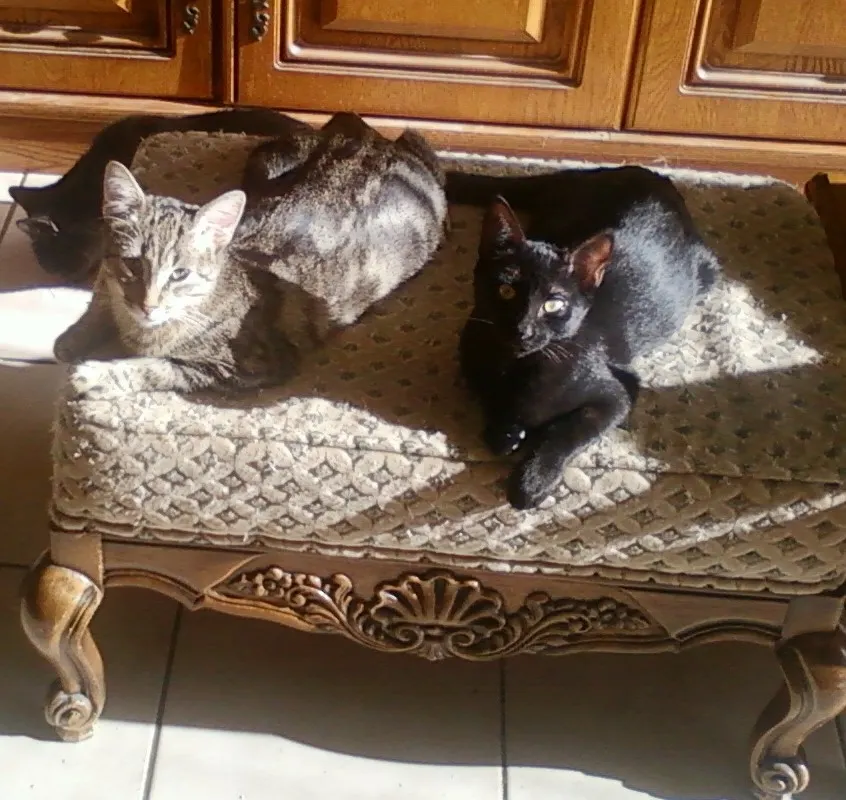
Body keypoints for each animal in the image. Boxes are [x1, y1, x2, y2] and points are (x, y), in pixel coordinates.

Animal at [55, 112, 447, 394]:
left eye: (180, 274)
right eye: (133, 264)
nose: (148, 306)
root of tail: (369, 135)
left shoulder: (245, 365)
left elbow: (158, 367)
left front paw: (96, 374)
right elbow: (100, 306)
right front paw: (72, 338)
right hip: (266, 158)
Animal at [454, 166, 720, 510]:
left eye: (554, 305)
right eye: (506, 290)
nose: (523, 328)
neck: (517, 367)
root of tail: (641, 171)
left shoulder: (618, 393)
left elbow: (568, 433)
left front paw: (532, 481)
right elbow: (491, 402)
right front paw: (506, 432)